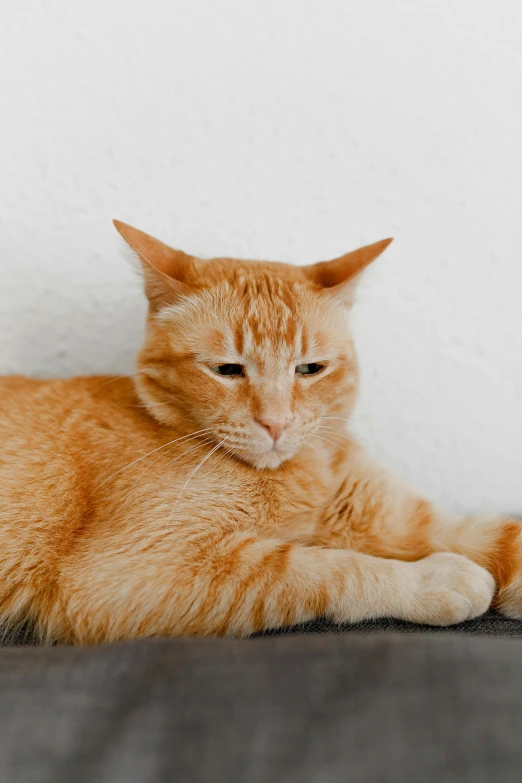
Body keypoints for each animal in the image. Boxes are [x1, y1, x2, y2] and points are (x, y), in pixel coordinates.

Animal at [0, 222, 516, 644]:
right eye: (227, 370)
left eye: (310, 369)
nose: (276, 422)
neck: (303, 476)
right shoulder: (129, 575)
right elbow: (323, 566)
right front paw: (433, 580)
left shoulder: (403, 521)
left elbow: (501, 537)